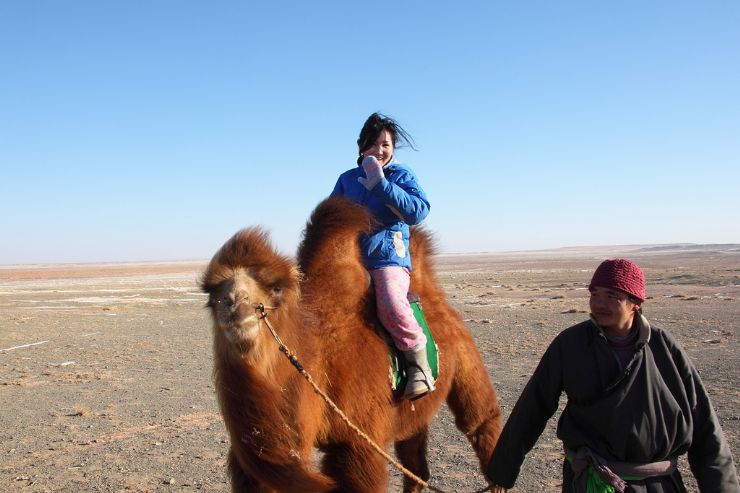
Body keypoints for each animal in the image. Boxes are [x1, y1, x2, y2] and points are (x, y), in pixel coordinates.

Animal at [201, 196, 502, 492]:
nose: (234, 304)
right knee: (416, 462)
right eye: (212, 293)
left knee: (480, 420)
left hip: (465, 356)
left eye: (275, 288)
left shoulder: (360, 442)